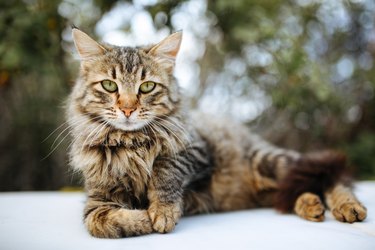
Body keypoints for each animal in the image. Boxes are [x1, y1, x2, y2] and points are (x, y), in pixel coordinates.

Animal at [67, 28, 368, 237]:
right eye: (109, 85)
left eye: (147, 87)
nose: (128, 109)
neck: (133, 144)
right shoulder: (98, 198)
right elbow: (98, 221)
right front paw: (142, 217)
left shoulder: (196, 149)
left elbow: (165, 171)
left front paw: (162, 212)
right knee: (298, 190)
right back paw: (311, 206)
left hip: (270, 161)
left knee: (330, 177)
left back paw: (348, 207)